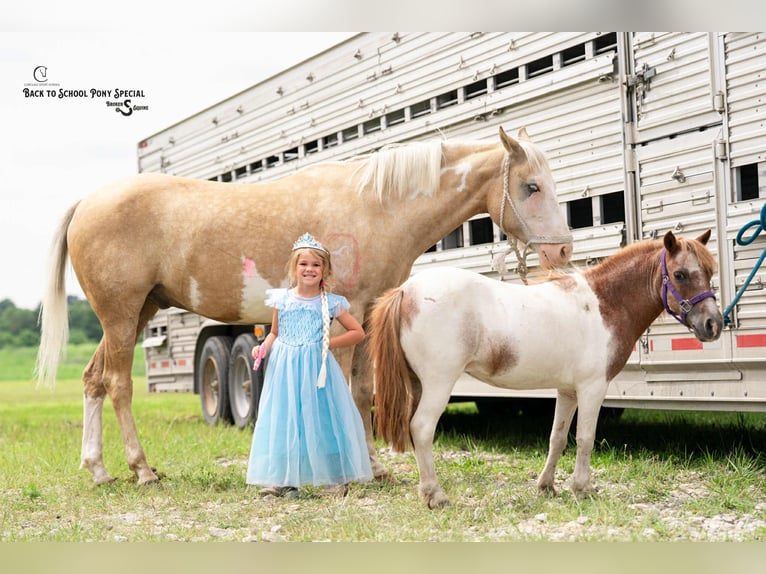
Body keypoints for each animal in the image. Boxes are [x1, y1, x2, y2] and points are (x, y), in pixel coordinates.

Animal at [34, 126, 572, 486]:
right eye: (531, 186)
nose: (563, 250)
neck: (379, 206)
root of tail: (87, 203)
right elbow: (348, 392)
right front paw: (356, 466)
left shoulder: (365, 316)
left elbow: (363, 390)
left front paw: (374, 465)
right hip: (122, 315)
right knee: (118, 385)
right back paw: (142, 470)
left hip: (134, 313)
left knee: (92, 380)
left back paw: (99, 469)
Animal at [368, 230, 722, 508]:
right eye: (680, 274)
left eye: (708, 272)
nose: (713, 324)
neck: (603, 305)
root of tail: (406, 290)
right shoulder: (593, 388)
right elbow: (585, 438)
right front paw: (582, 488)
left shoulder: (567, 391)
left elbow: (558, 438)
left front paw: (547, 486)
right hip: (439, 384)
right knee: (422, 429)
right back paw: (436, 495)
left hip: (417, 385)